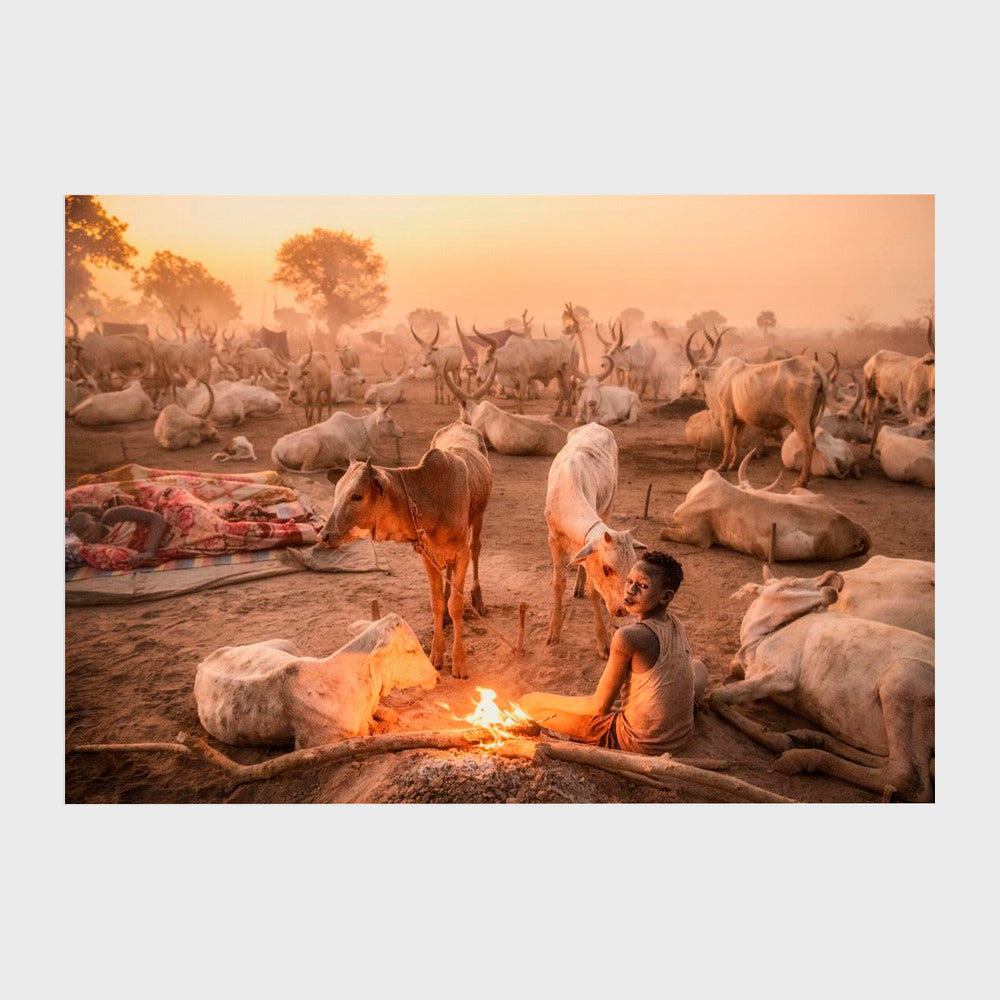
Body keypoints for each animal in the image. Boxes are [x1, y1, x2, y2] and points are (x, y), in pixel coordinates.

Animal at [320, 418, 492, 676]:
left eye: (356, 496)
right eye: (336, 493)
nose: (324, 535)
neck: (430, 498)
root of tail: (460, 423)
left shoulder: (460, 553)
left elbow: (457, 605)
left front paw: (459, 662)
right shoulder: (427, 554)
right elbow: (437, 603)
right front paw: (436, 655)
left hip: (479, 517)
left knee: (476, 548)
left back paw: (478, 599)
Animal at [548, 422, 648, 656]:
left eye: (632, 566)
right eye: (607, 569)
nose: (623, 608)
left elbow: (593, 591)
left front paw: (603, 642)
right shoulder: (553, 539)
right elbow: (558, 583)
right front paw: (553, 634)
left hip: (609, 502)